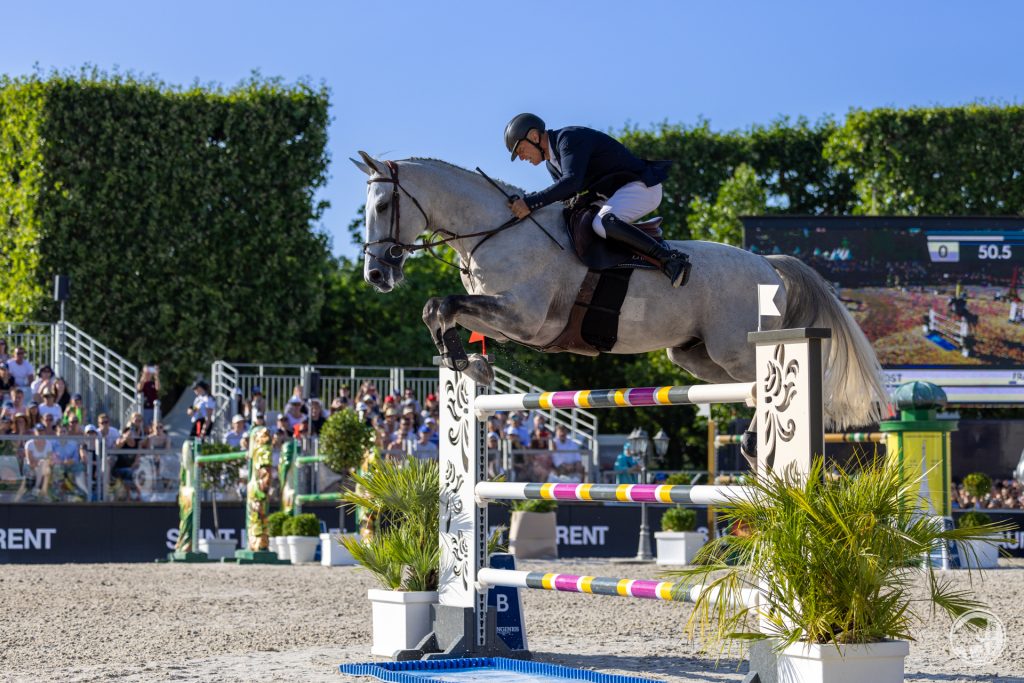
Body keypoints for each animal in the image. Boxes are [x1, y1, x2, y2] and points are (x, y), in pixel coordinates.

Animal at [350, 153, 888, 432]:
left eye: (383, 205)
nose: (376, 275)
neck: (496, 230)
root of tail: (768, 263)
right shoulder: (504, 322)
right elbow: (440, 310)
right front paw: (466, 362)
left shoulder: (524, 318)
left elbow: (439, 304)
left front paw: (466, 362)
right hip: (694, 356)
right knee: (745, 385)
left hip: (736, 348)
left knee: (767, 379)